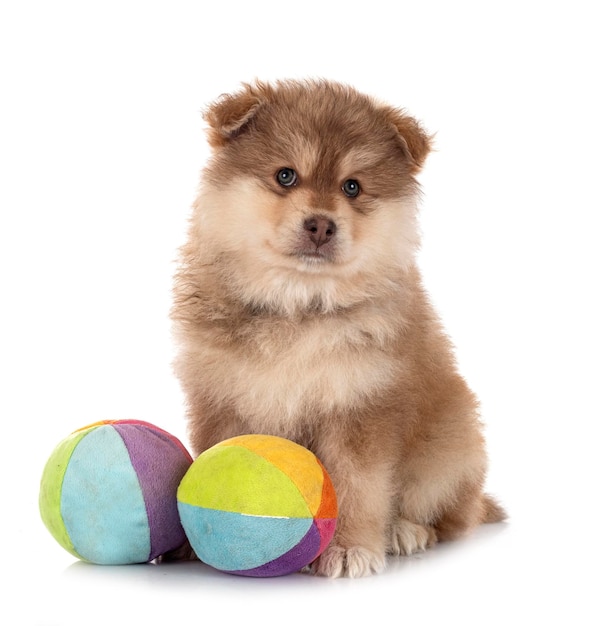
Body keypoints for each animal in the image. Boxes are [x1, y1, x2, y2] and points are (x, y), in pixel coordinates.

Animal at [170, 78, 504, 576]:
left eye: (352, 187)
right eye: (285, 176)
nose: (321, 225)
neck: (299, 303)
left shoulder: (361, 404)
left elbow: (357, 485)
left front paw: (348, 549)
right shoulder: (224, 394)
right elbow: (215, 451)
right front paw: (191, 542)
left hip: (451, 447)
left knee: (453, 517)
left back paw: (405, 532)